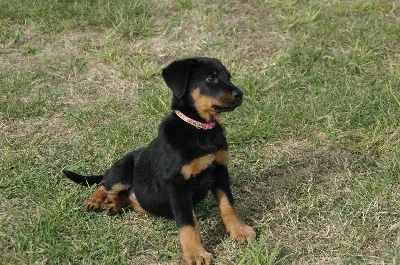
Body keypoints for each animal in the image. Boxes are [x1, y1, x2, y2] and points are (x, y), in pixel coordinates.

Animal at [63, 56, 255, 262]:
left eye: (228, 76)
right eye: (211, 79)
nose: (240, 94)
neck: (199, 128)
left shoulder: (219, 170)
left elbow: (228, 205)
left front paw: (240, 231)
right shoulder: (178, 185)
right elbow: (188, 223)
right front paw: (196, 254)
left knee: (121, 195)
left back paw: (114, 204)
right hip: (122, 171)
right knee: (105, 183)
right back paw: (95, 200)